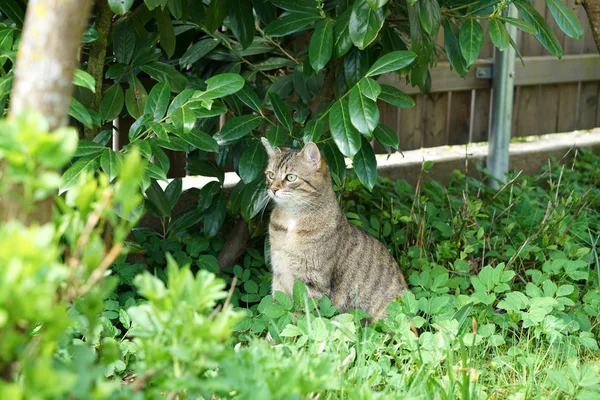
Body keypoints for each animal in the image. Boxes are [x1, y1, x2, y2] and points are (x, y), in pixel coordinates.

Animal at [260, 138, 410, 322]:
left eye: (291, 177)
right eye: (270, 175)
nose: (273, 189)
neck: (291, 221)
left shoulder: (312, 282)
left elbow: (300, 317)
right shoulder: (279, 274)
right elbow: (275, 312)